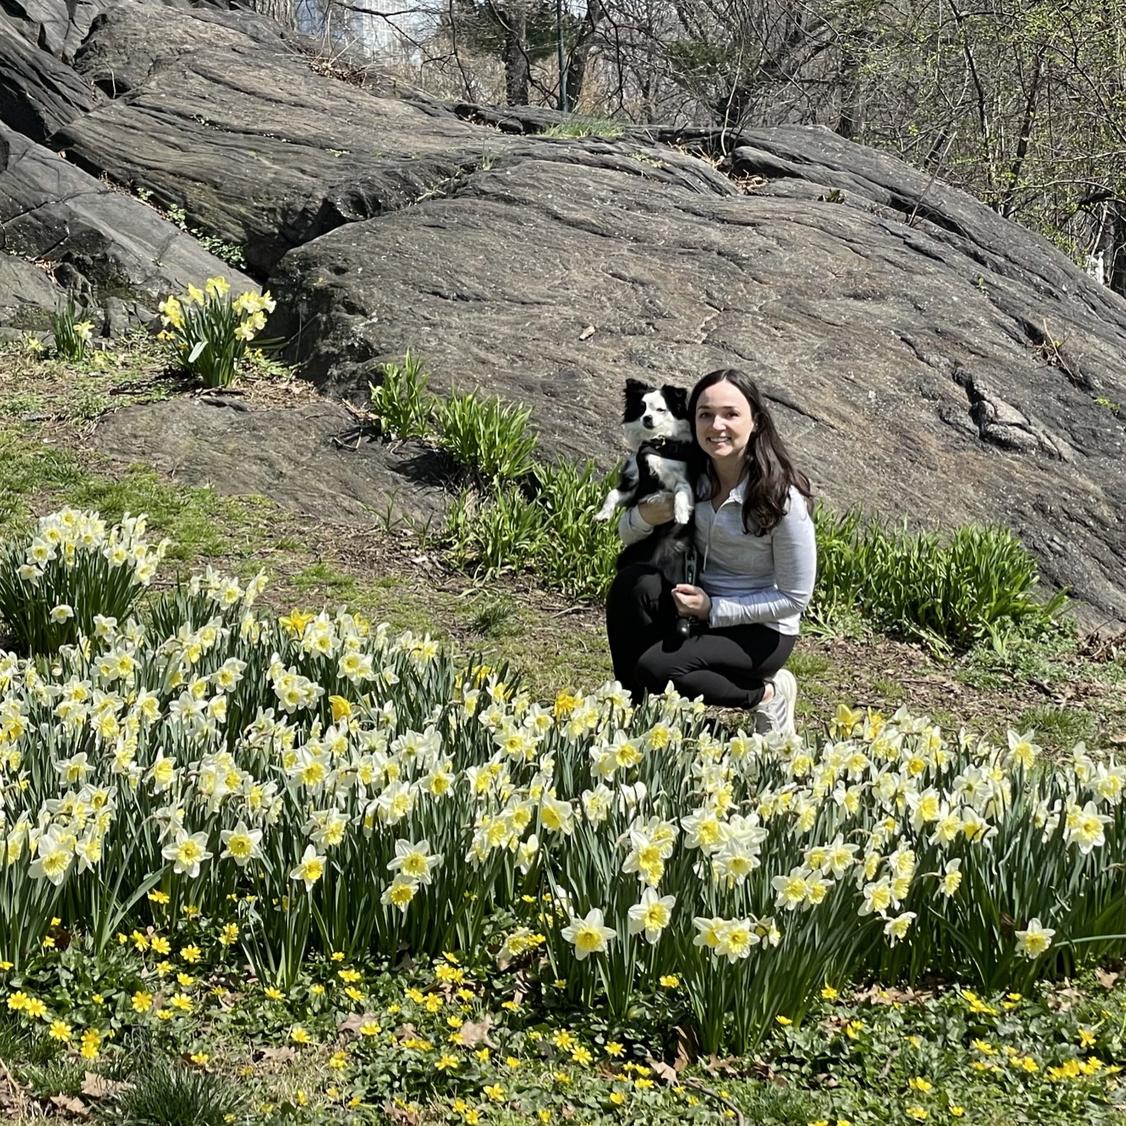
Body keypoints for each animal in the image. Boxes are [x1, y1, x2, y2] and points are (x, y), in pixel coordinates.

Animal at [599, 380, 693, 635]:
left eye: (661, 410)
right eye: (641, 408)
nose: (647, 418)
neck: (657, 442)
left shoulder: (682, 477)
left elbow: (681, 491)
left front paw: (680, 512)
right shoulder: (633, 481)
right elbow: (612, 494)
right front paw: (603, 515)